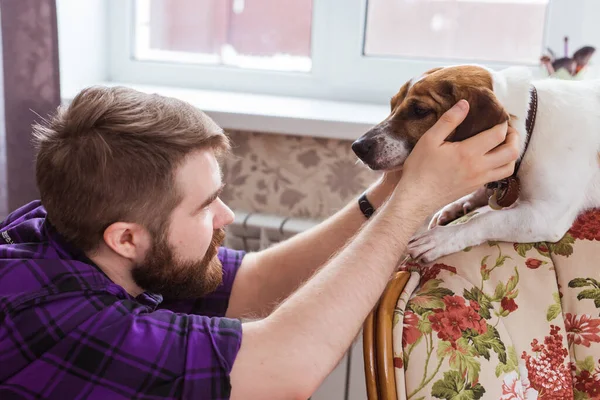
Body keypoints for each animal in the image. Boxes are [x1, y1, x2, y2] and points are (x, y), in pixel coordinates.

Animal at [352, 65, 600, 262]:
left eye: (419, 110)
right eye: (392, 105)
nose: (358, 147)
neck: (531, 123)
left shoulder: (546, 216)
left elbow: (486, 219)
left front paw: (442, 238)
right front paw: (461, 204)